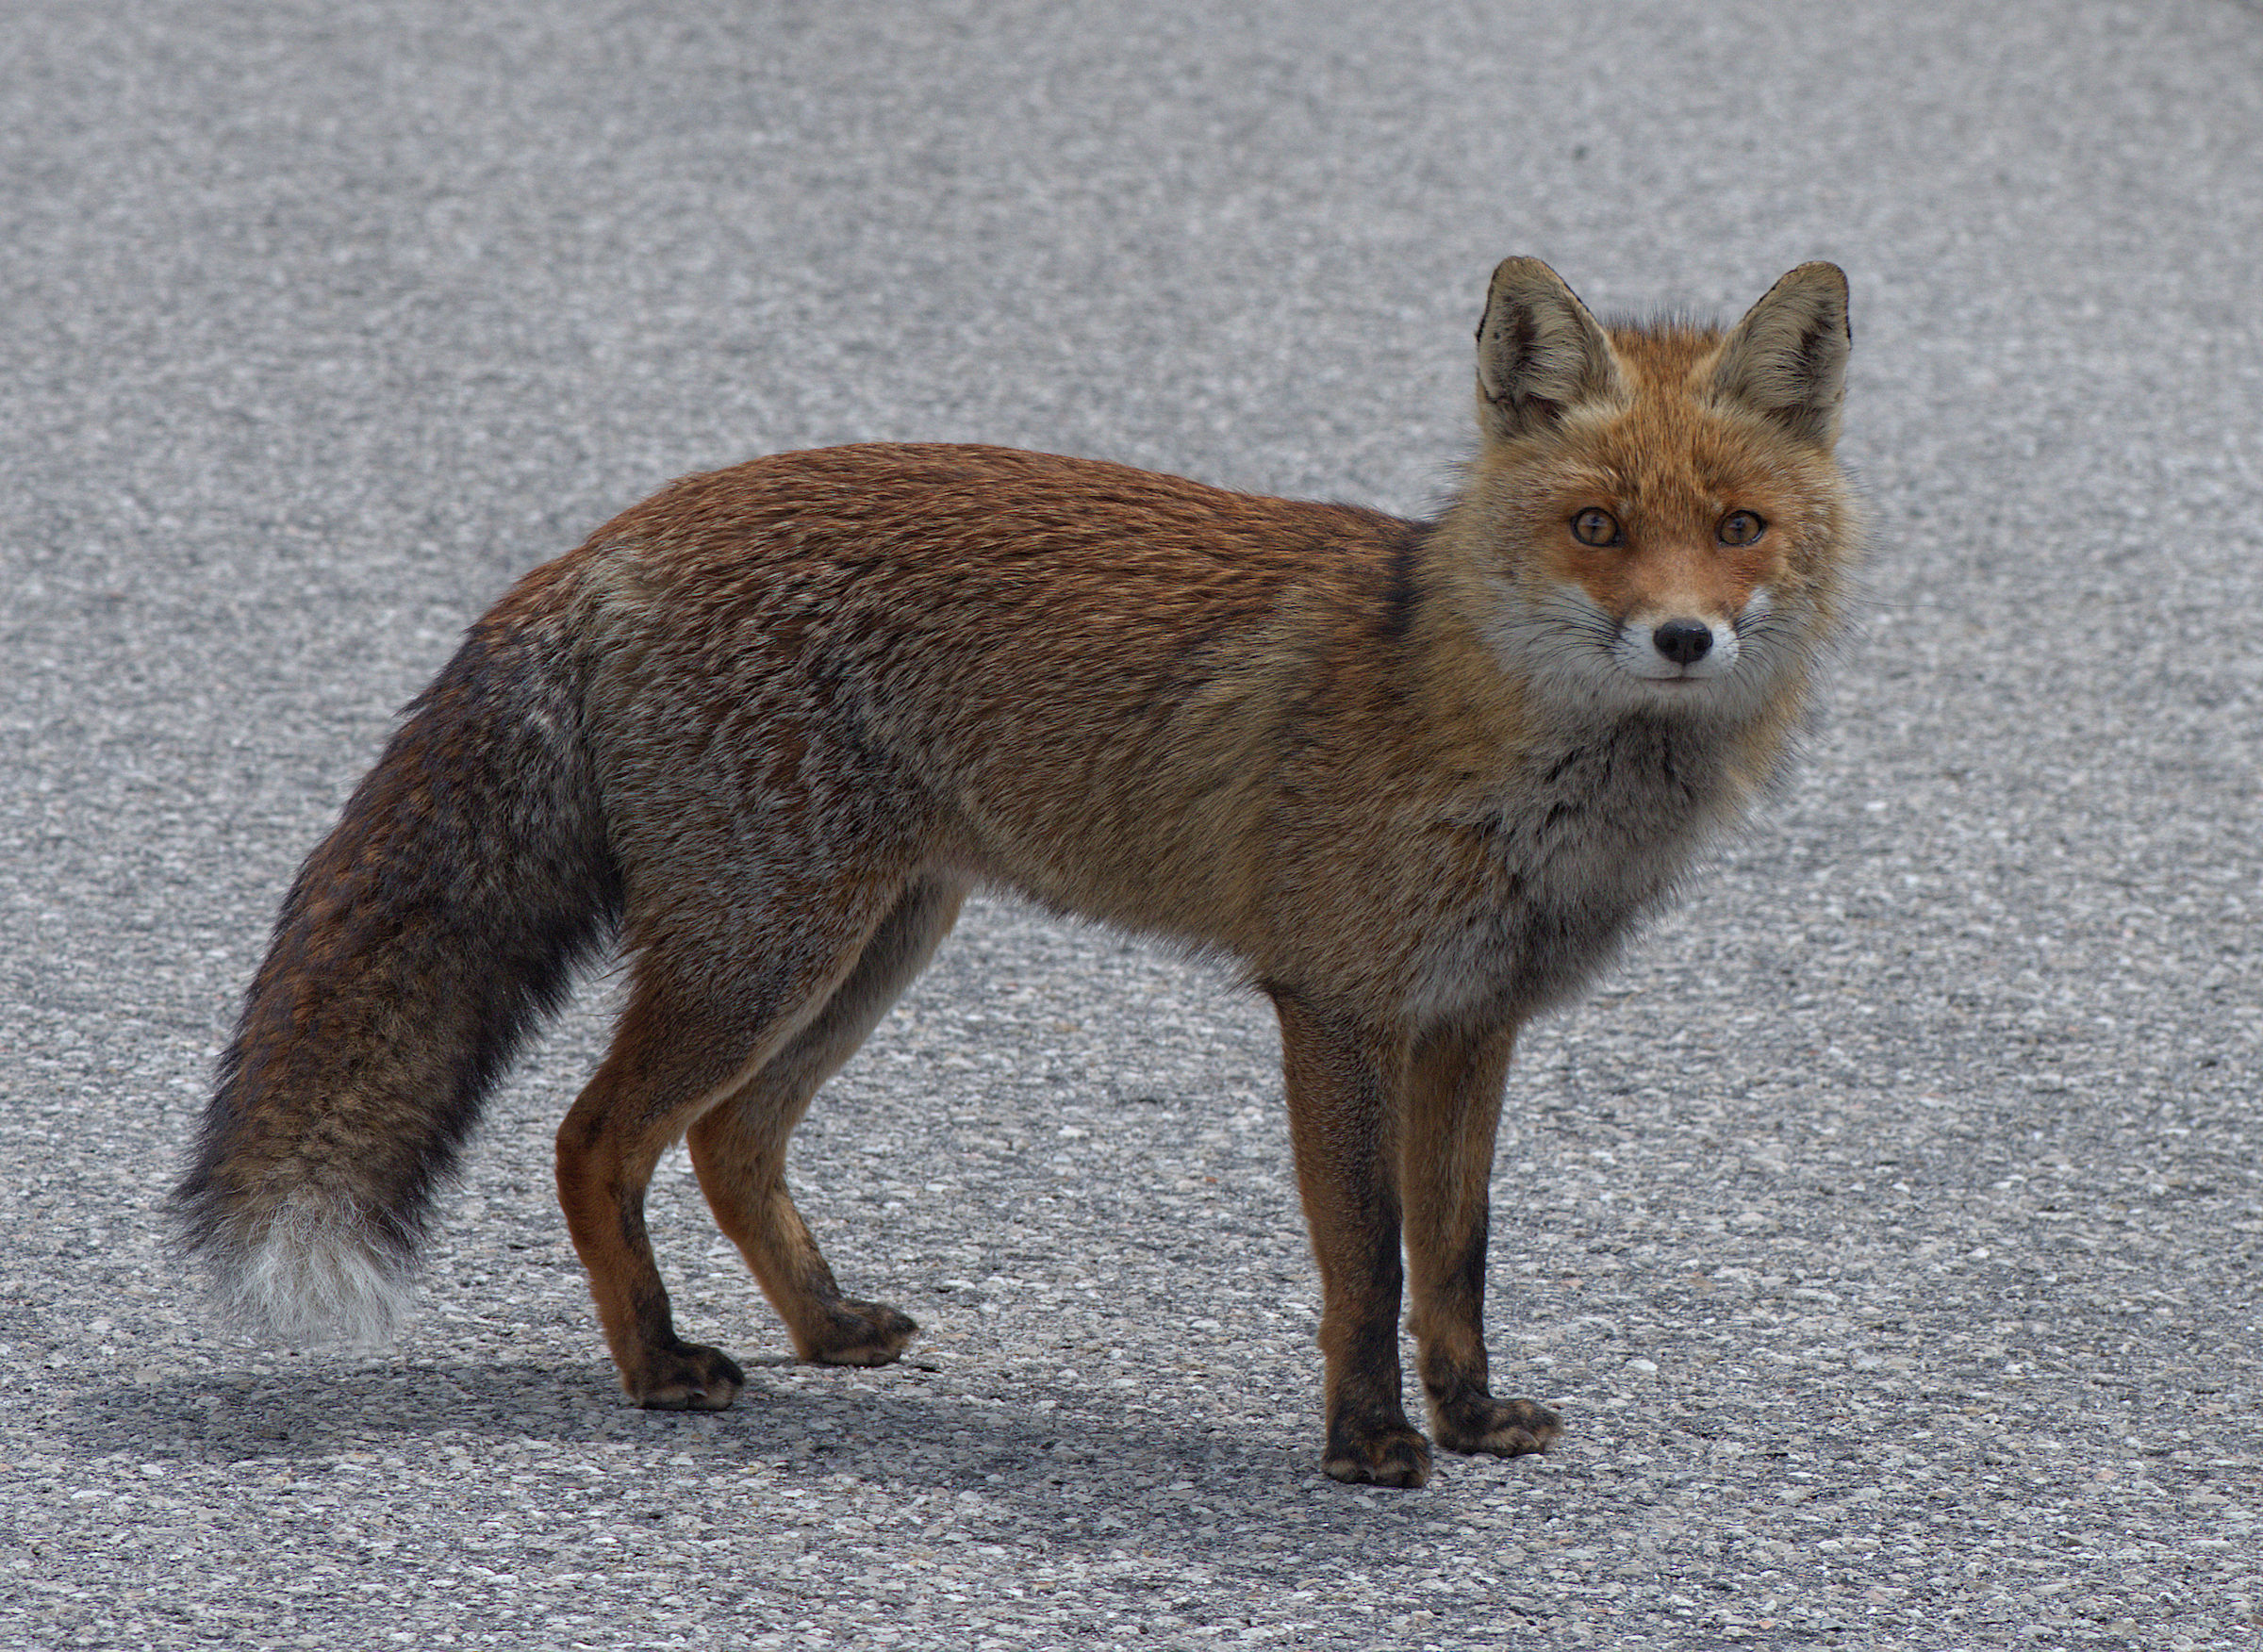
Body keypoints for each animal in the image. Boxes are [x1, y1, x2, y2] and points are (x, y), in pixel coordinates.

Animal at [176, 258, 1857, 1487]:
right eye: (1596, 527)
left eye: (1738, 527)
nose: (1685, 638)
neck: (1507, 756)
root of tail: (611, 538)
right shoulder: (1334, 1007)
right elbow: (1369, 1266)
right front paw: (1370, 1445)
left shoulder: (1470, 1026)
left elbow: (1458, 1258)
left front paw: (1471, 1419)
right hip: (763, 951)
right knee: (596, 1139)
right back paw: (657, 1366)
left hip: (871, 946)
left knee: (730, 1141)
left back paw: (824, 1326)